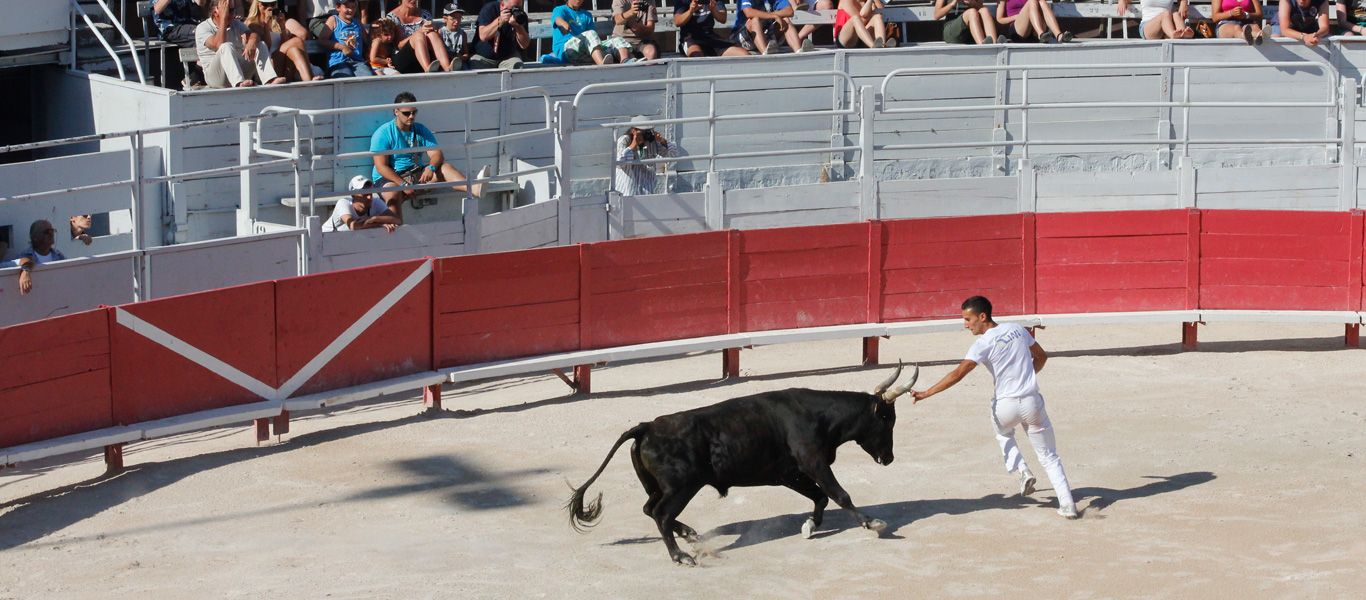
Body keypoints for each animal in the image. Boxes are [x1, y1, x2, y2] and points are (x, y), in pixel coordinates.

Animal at [565, 363, 917, 565]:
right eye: (887, 420)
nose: (889, 458)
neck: (817, 415)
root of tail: (647, 426)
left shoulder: (790, 473)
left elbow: (819, 496)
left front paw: (810, 526)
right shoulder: (814, 464)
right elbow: (839, 494)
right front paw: (873, 524)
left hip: (659, 486)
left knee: (649, 509)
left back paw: (690, 535)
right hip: (682, 487)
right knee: (661, 514)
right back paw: (681, 555)